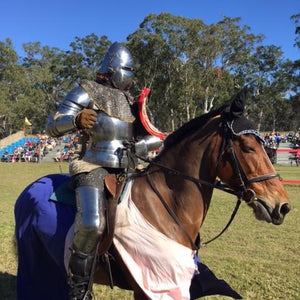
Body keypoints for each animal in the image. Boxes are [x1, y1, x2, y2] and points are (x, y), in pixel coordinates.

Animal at [14, 89, 290, 300]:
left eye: (267, 146)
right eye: (248, 147)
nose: (282, 206)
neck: (166, 204)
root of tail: (29, 188)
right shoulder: (150, 286)